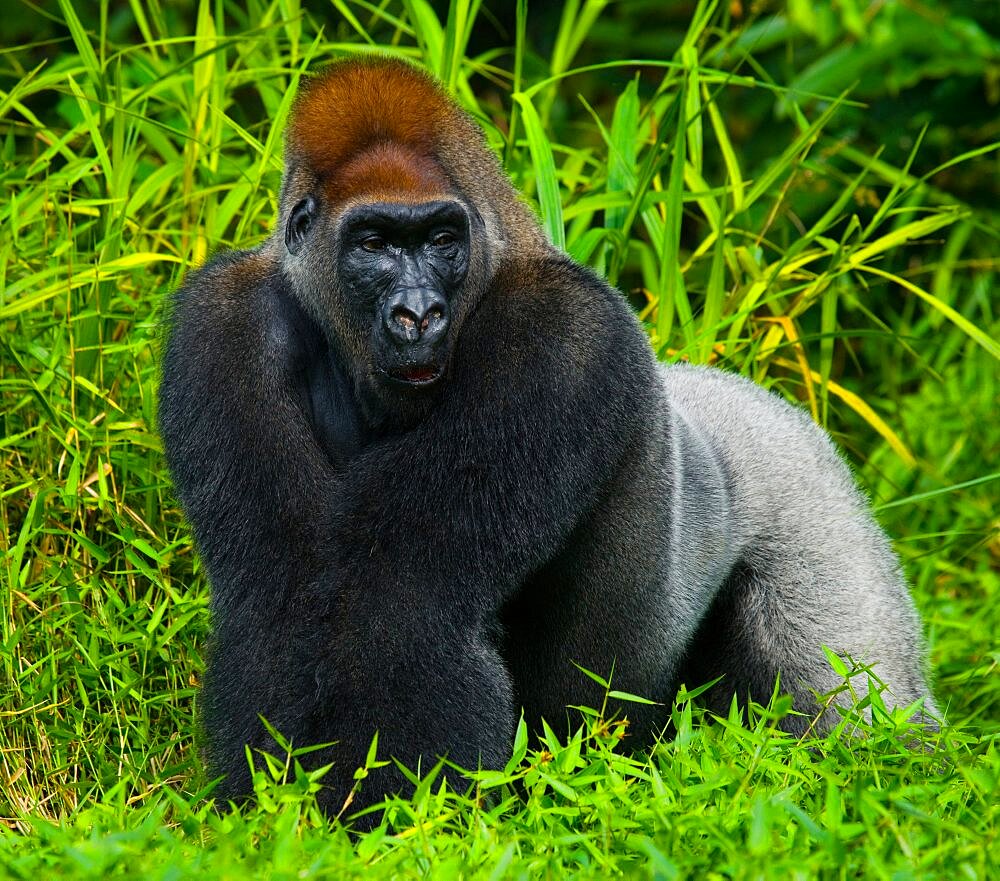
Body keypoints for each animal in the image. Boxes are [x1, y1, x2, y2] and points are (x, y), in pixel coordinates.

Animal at [160, 56, 940, 820]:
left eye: (441, 241)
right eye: (374, 244)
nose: (419, 315)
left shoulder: (562, 331)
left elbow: (402, 606)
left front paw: (399, 817)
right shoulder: (223, 323)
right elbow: (281, 593)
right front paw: (271, 810)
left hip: (813, 499)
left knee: (859, 714)